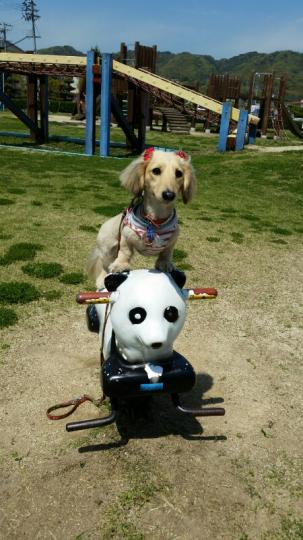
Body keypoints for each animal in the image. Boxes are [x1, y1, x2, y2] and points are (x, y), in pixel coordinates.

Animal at [88, 146, 197, 288]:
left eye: (179, 173)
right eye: (156, 171)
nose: (169, 195)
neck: (155, 220)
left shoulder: (172, 240)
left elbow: (167, 253)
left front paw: (165, 264)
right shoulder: (125, 236)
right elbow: (125, 251)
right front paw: (120, 265)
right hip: (107, 248)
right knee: (104, 266)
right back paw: (101, 280)